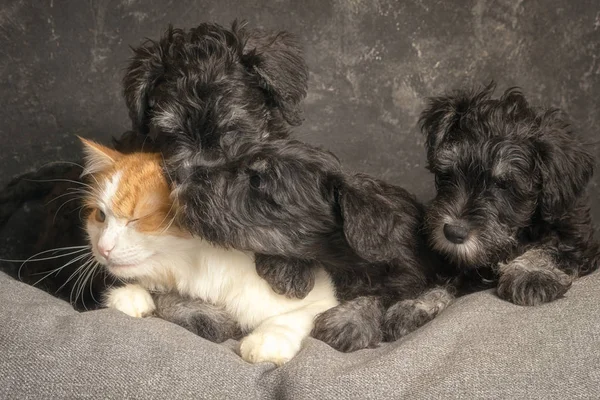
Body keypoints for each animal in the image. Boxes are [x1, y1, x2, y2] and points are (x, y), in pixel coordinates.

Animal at [79, 138, 338, 366]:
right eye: (100, 216)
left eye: (139, 219)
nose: (103, 248)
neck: (198, 270)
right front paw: (130, 295)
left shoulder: (321, 298)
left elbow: (294, 316)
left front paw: (268, 340)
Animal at [169, 139, 450, 352]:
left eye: (257, 180)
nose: (180, 172)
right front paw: (287, 269)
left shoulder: (407, 276)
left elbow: (381, 296)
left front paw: (349, 319)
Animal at [422, 83, 600, 304]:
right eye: (447, 174)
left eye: (504, 185)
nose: (453, 232)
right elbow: (445, 281)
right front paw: (415, 304)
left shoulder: (577, 243)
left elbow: (549, 249)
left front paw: (531, 274)